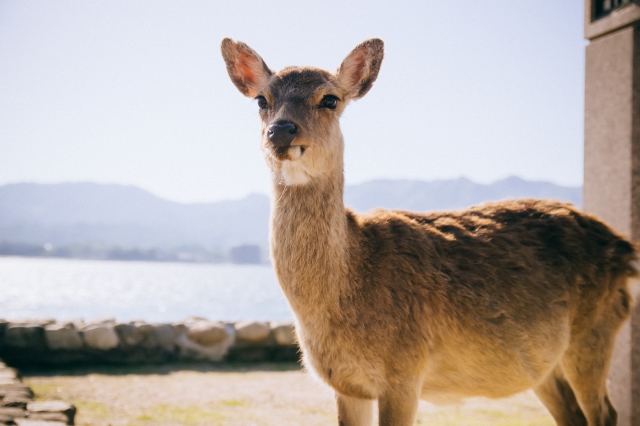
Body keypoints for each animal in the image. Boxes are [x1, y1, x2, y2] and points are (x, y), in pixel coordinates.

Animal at [221, 37, 638, 426]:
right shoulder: (345, 384)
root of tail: (625, 248)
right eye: (261, 99)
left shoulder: (405, 370)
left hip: (593, 333)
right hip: (545, 364)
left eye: (330, 99)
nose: (281, 131)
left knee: (606, 412)